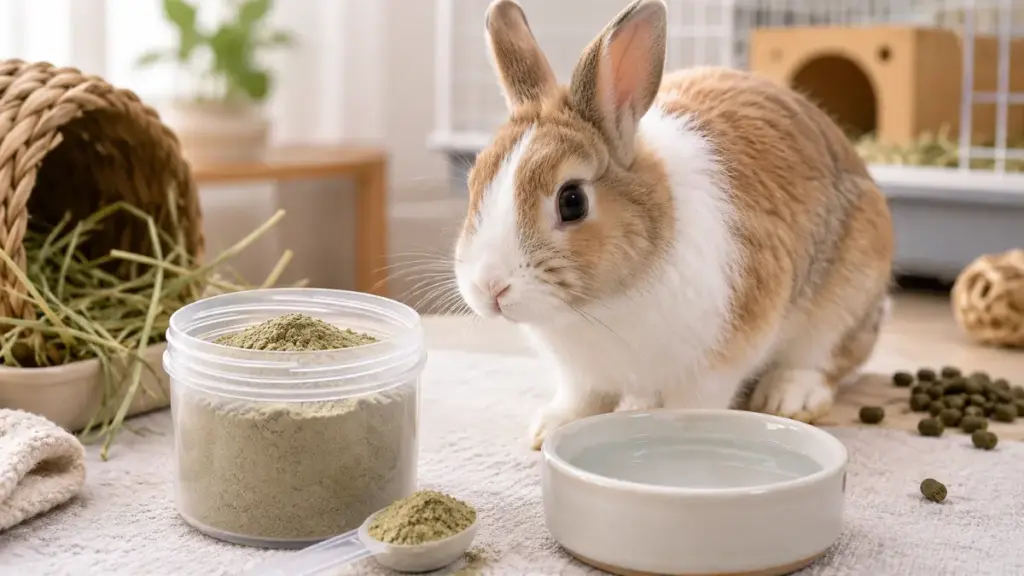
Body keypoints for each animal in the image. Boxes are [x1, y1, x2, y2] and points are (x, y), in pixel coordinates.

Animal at [453, 0, 894, 450]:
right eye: (474, 184)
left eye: (572, 201)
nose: (489, 287)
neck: (603, 303)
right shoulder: (583, 377)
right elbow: (582, 399)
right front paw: (548, 430)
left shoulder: (717, 361)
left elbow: (693, 403)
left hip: (845, 298)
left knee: (824, 359)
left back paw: (788, 397)